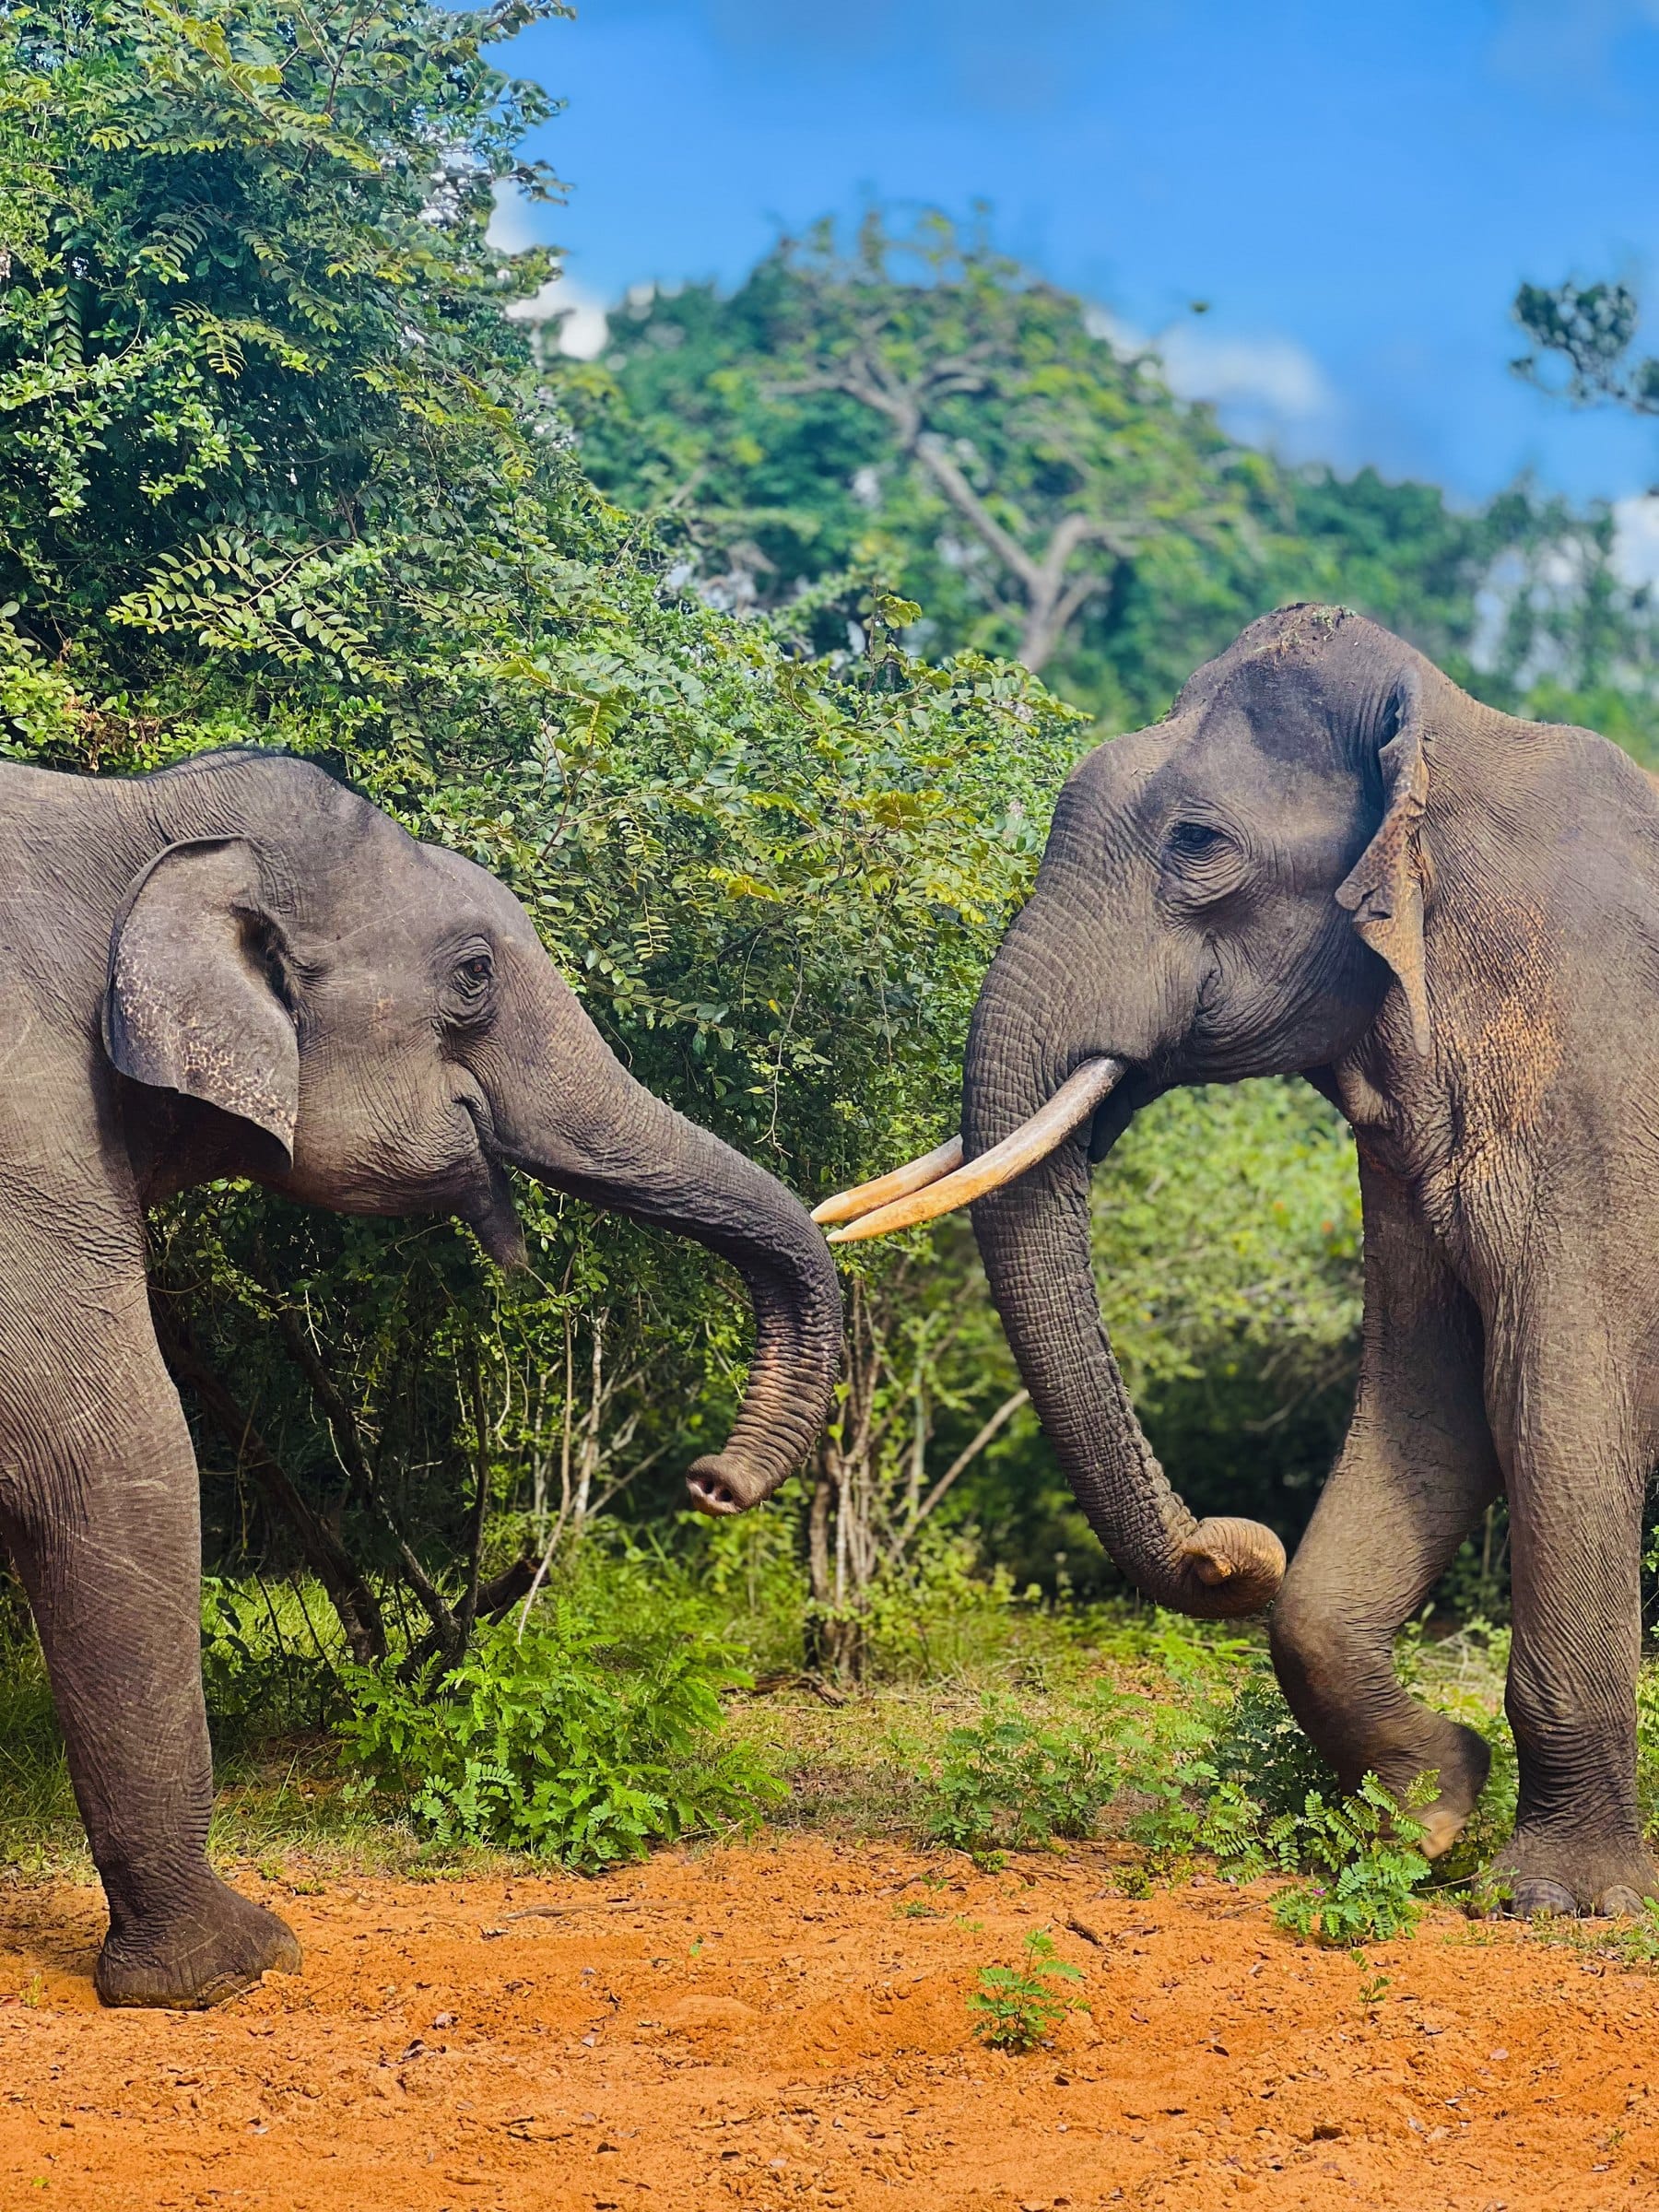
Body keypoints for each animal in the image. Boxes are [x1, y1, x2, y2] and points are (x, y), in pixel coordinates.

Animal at [0, 745, 841, 2007]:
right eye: (475, 977)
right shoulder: (28, 1142)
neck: (138, 815)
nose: (713, 1483)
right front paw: (234, 1972)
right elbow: (108, 1457)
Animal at [818, 603, 1659, 1917]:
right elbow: (1430, 1400)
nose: (1230, 1548)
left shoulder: (1597, 1085)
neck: (1454, 740)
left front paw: (1555, 1904)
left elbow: (1556, 1404)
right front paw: (1425, 1815)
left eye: (1198, 843)